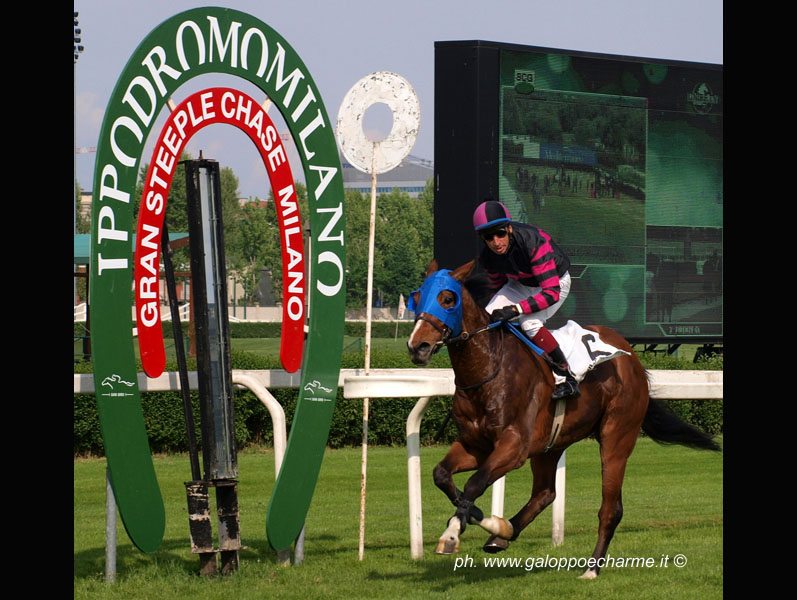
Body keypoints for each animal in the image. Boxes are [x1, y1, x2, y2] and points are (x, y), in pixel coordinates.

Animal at [408, 260, 720, 580]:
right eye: (416, 298)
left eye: (448, 299)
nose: (417, 346)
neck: (488, 371)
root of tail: (631, 357)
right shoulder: (476, 445)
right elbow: (443, 476)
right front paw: (477, 518)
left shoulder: (513, 446)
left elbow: (474, 484)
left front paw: (452, 535)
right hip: (550, 444)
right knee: (545, 493)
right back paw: (503, 532)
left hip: (616, 437)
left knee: (611, 508)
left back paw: (591, 568)